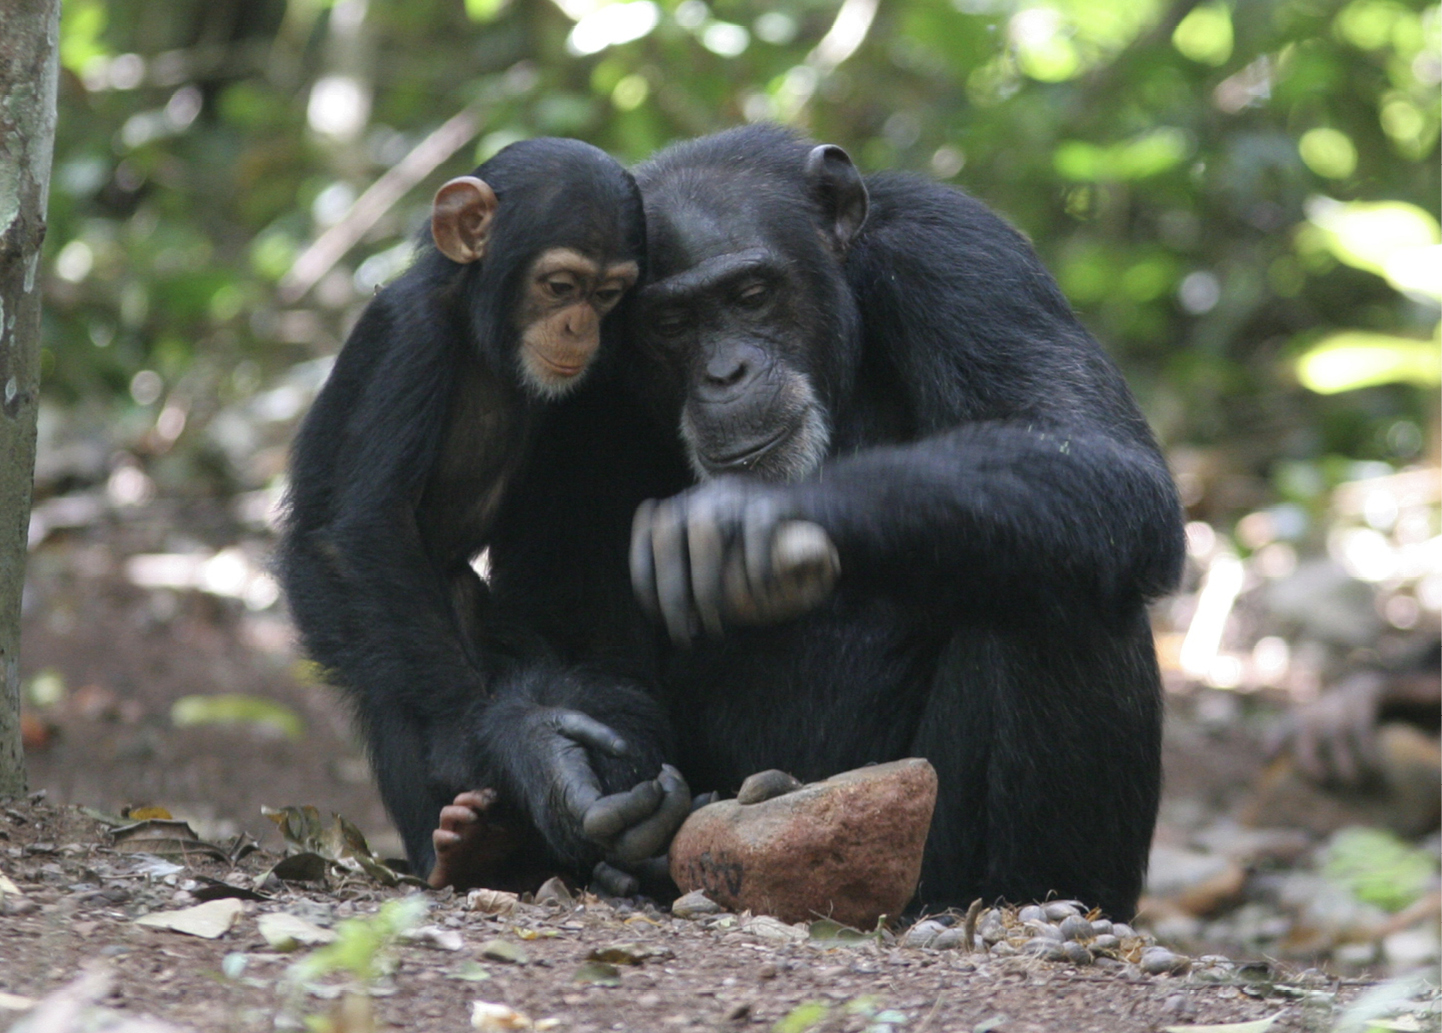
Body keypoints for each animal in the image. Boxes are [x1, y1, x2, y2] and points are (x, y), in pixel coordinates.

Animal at [278, 137, 695, 894]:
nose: (580, 326)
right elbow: (375, 522)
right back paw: (461, 847)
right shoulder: (407, 338)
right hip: (328, 596)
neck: (482, 334)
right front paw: (496, 744)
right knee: (386, 659)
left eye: (609, 294)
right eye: (560, 286)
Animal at [625, 123, 1188, 917]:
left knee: (1067, 579)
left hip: (931, 860)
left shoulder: (962, 257)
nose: (725, 373)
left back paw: (1044, 897)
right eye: (671, 323)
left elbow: (1097, 450)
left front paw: (751, 519)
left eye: (752, 294)